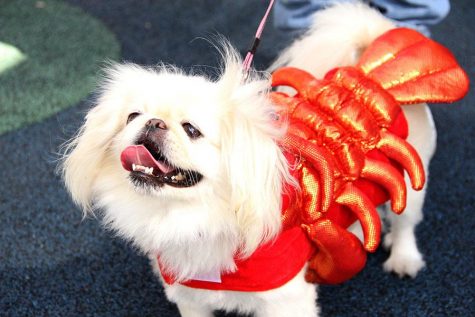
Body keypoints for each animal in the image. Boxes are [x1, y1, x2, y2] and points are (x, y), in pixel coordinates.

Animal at [63, 3, 438, 316]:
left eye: (191, 129)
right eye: (133, 116)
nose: (154, 122)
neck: (191, 216)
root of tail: (369, 69)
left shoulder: (286, 301)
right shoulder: (190, 298)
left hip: (412, 187)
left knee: (406, 222)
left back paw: (403, 258)